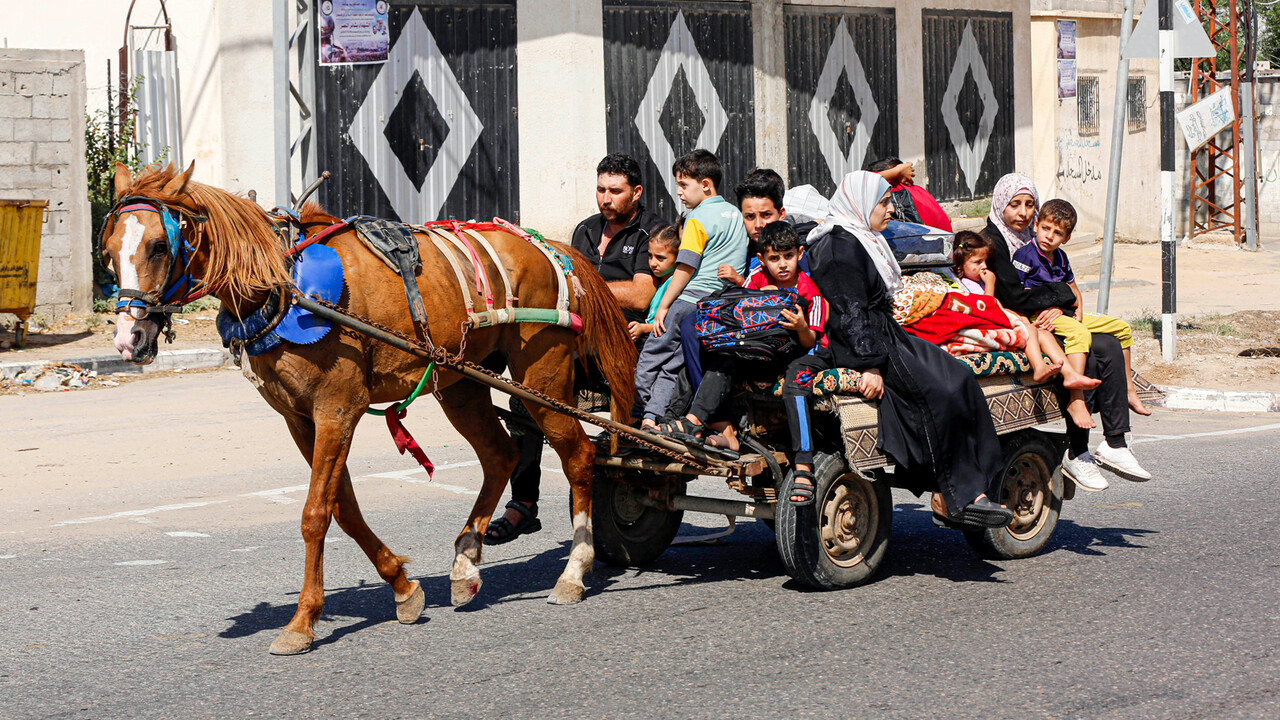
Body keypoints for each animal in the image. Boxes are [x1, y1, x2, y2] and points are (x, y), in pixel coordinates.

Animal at [97, 162, 637, 650]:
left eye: (159, 246)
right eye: (108, 253)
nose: (128, 338)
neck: (286, 285)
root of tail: (551, 247)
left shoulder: (337, 409)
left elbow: (316, 513)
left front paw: (302, 622)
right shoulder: (300, 419)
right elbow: (346, 510)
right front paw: (402, 586)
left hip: (541, 378)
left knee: (578, 457)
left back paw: (573, 572)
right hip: (460, 382)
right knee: (500, 455)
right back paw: (465, 561)